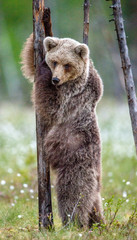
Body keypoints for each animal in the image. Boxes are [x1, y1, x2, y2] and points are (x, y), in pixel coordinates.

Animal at [20, 33, 104, 227]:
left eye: (67, 64)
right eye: (55, 61)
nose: (55, 79)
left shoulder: (72, 95)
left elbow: (52, 106)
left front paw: (43, 71)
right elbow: (30, 66)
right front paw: (35, 40)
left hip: (76, 166)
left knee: (72, 196)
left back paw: (73, 224)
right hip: (92, 185)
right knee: (94, 205)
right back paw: (98, 224)